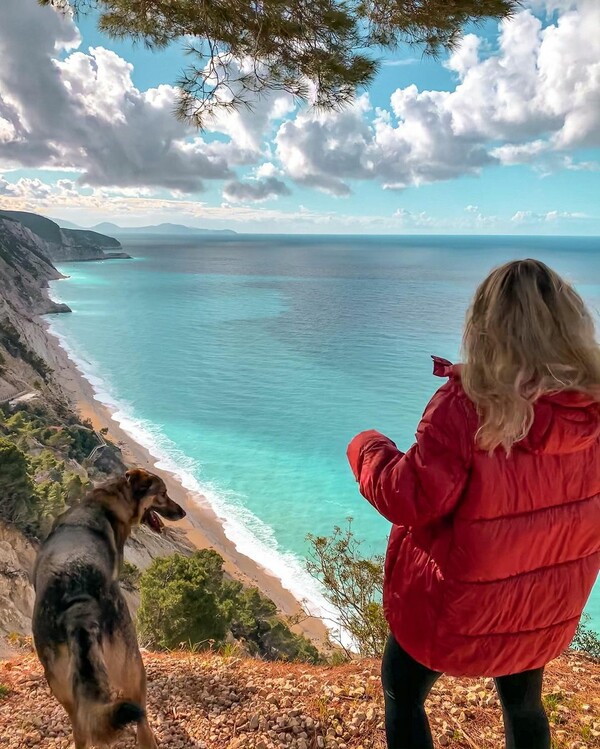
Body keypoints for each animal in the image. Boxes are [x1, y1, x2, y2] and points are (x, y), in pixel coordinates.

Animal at [32, 464, 185, 744]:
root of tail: (78, 602)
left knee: (84, 728)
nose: (183, 512)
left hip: (65, 689)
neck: (108, 499)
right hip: (132, 665)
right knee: (141, 717)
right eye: (163, 493)